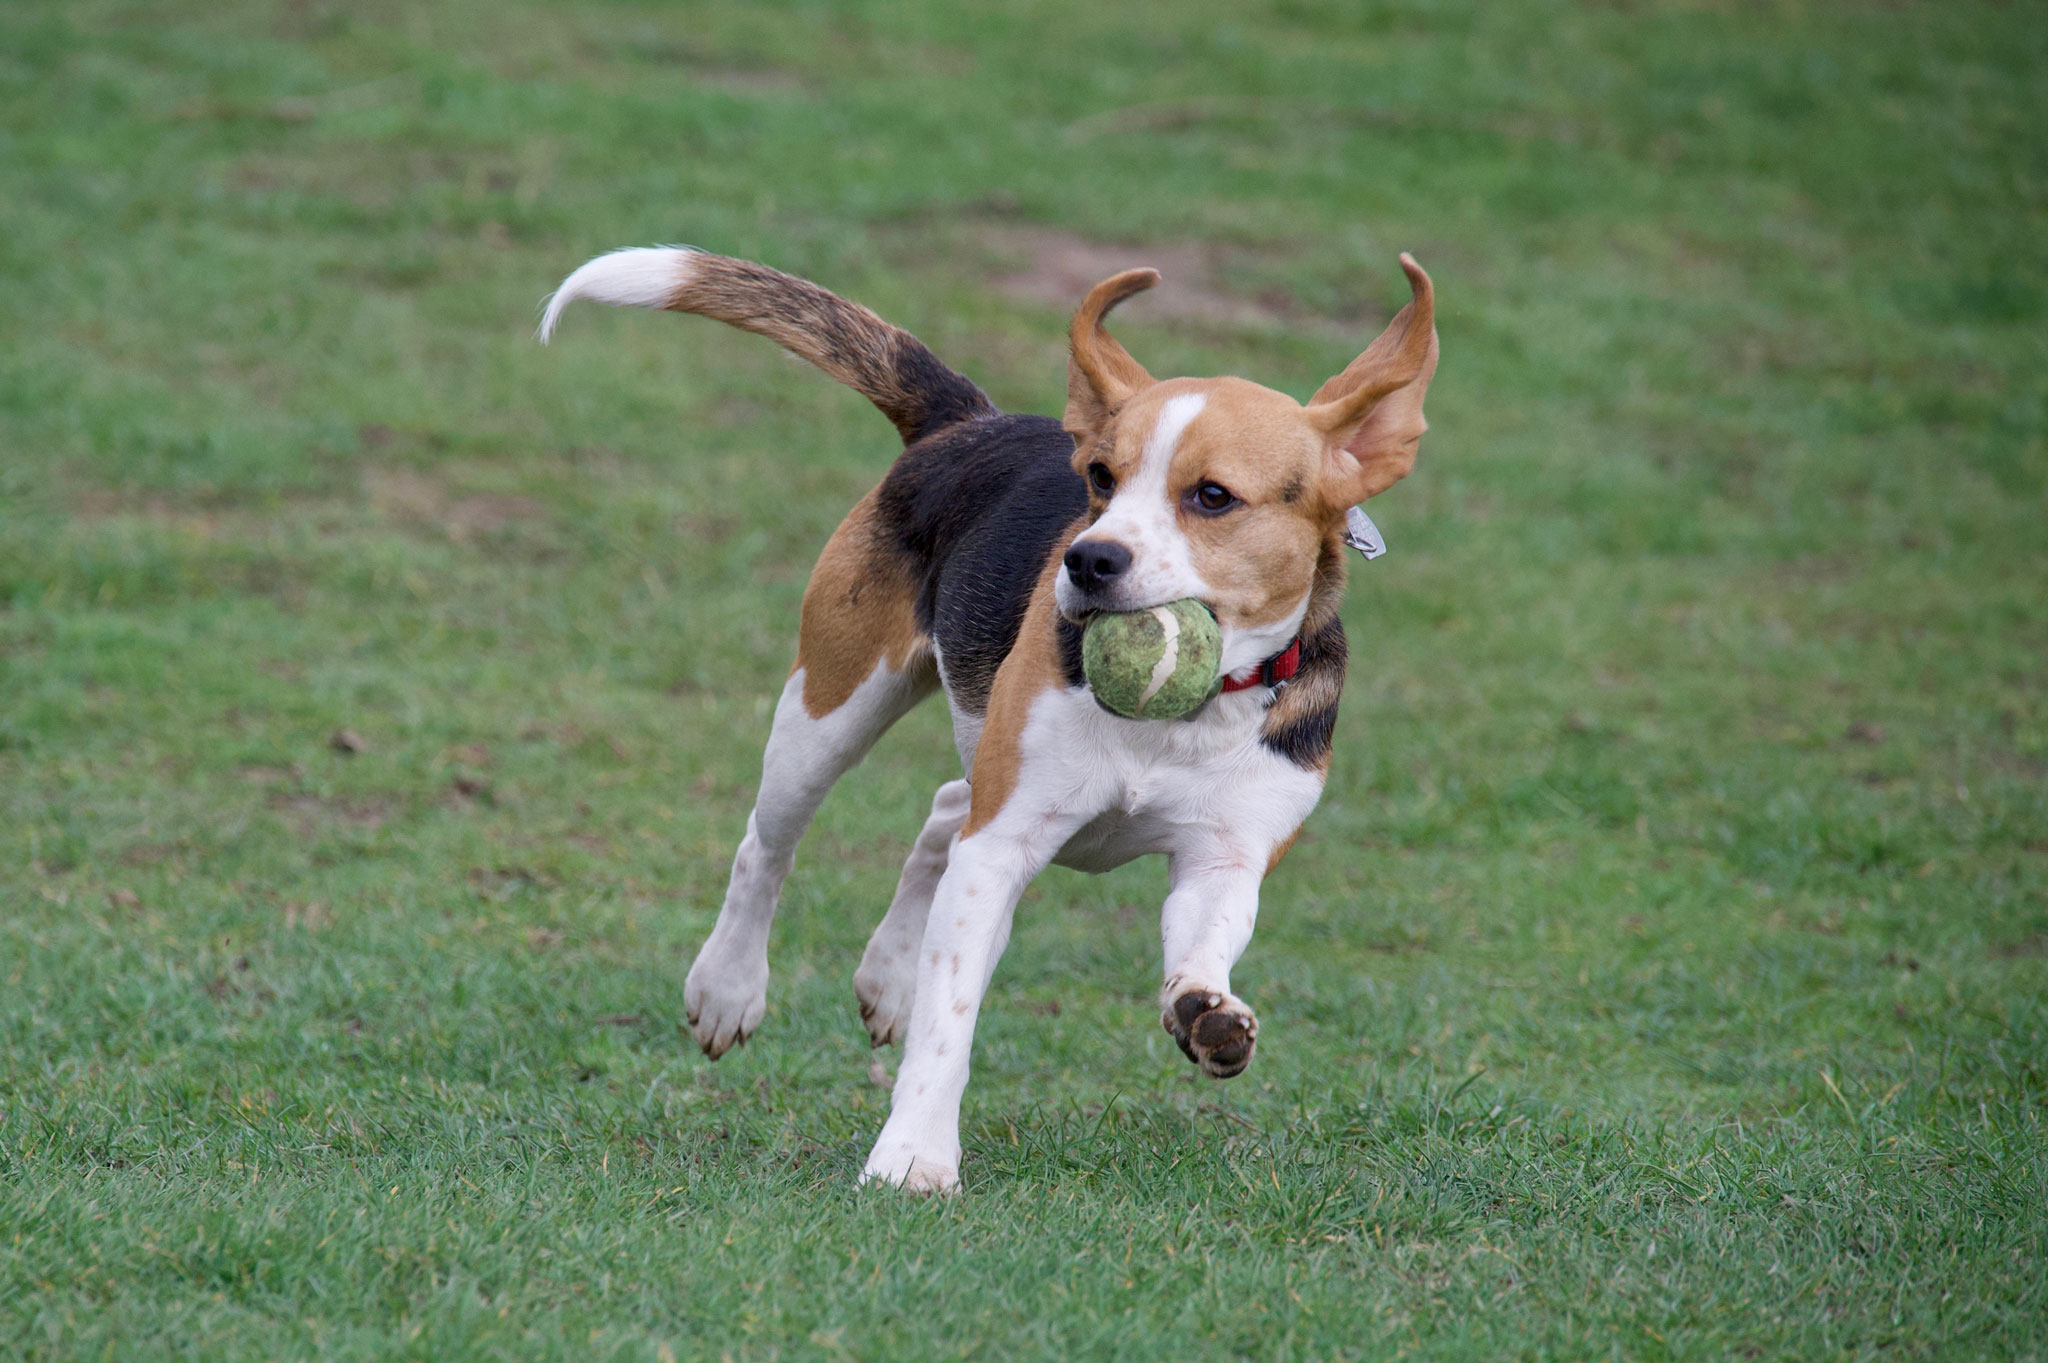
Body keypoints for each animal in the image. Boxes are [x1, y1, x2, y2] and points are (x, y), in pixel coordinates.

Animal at [544, 246, 1441, 1186]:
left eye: (1213, 497)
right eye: (1101, 479)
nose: (1089, 560)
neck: (1182, 715)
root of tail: (967, 423)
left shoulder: (1226, 853)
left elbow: (1200, 943)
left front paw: (1208, 1014)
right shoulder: (1000, 847)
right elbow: (951, 1018)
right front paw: (912, 1159)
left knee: (944, 806)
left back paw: (887, 978)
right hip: (829, 708)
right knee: (770, 843)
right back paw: (727, 987)